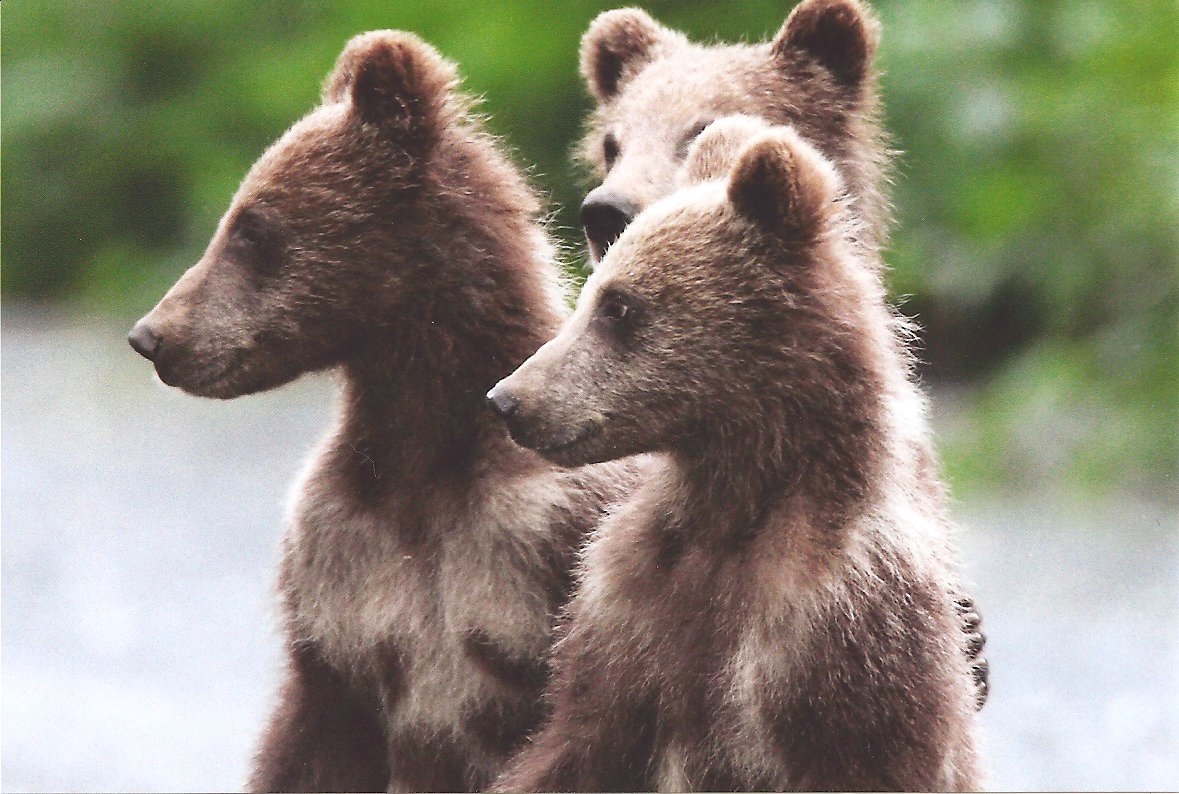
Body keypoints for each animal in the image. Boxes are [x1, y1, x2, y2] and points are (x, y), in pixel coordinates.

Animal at [127, 30, 637, 792]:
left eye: (251, 227)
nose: (153, 336)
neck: (423, 451)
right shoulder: (336, 570)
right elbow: (313, 741)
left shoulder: (541, 548)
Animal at [486, 121, 982, 791]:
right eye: (594, 291)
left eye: (618, 306)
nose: (508, 400)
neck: (736, 503)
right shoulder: (624, 608)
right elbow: (573, 743)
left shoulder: (836, 626)